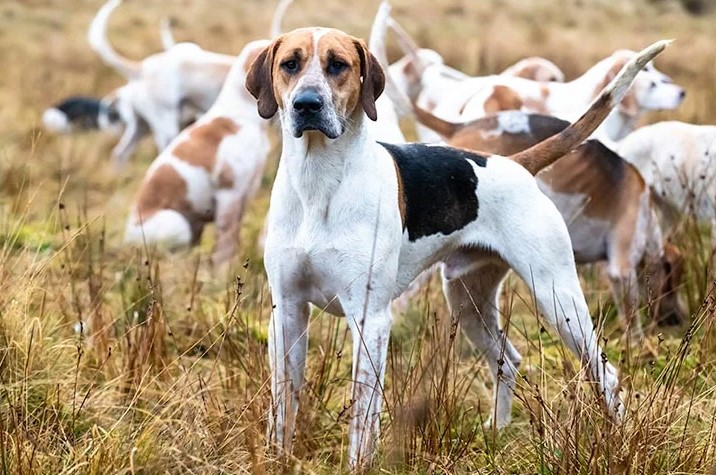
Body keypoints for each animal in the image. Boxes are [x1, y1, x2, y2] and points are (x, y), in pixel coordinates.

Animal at [123, 38, 272, 264]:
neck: (240, 116)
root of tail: (127, 234)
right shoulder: (229, 194)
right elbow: (225, 242)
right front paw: (223, 270)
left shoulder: (245, 192)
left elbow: (233, 237)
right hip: (178, 224)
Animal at [414, 107, 688, 334]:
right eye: (673, 283)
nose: (679, 320)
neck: (649, 219)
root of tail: (460, 127)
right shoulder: (621, 270)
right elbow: (633, 326)